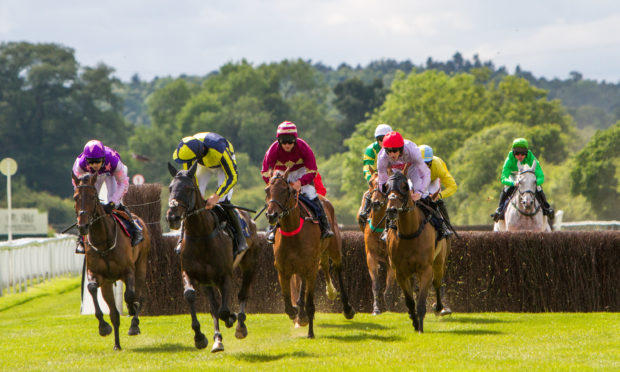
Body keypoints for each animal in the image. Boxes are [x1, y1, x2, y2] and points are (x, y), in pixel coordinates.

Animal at [70, 173, 151, 350]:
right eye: (75, 197)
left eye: (93, 197)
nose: (83, 226)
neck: (104, 242)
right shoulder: (97, 274)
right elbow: (92, 288)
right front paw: (103, 327)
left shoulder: (128, 271)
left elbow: (130, 295)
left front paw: (132, 314)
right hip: (108, 284)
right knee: (114, 313)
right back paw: (117, 345)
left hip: (141, 266)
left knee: (139, 295)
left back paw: (134, 322)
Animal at [165, 162, 260, 352]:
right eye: (171, 187)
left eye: (188, 189)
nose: (172, 217)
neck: (201, 234)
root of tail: (250, 220)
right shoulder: (190, 273)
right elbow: (192, 296)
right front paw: (200, 337)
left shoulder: (225, 275)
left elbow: (224, 310)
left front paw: (232, 318)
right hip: (208, 281)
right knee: (215, 305)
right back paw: (218, 339)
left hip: (249, 265)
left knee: (242, 294)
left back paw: (240, 325)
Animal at [264, 170, 356, 338]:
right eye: (267, 190)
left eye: (285, 190)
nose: (272, 215)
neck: (293, 233)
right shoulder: (283, 270)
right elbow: (288, 303)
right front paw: (297, 313)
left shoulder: (311, 268)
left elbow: (310, 303)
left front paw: (310, 332)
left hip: (333, 248)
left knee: (337, 269)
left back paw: (346, 306)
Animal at [382, 170, 450, 332]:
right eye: (386, 187)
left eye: (404, 186)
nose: (391, 210)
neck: (409, 234)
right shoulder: (400, 272)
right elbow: (410, 300)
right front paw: (413, 320)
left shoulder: (425, 269)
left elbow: (421, 301)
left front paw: (420, 326)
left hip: (438, 262)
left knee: (437, 282)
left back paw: (440, 307)